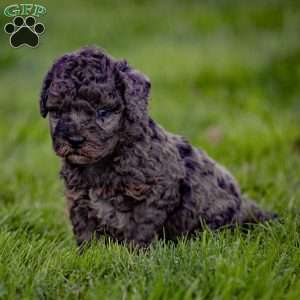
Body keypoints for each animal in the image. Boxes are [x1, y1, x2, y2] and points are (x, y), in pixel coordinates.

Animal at [40, 47, 276, 246]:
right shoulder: (79, 198)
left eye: (103, 112)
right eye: (57, 112)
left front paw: (135, 256)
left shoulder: (156, 191)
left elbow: (140, 227)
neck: (105, 161)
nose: (75, 140)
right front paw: (86, 255)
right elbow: (86, 232)